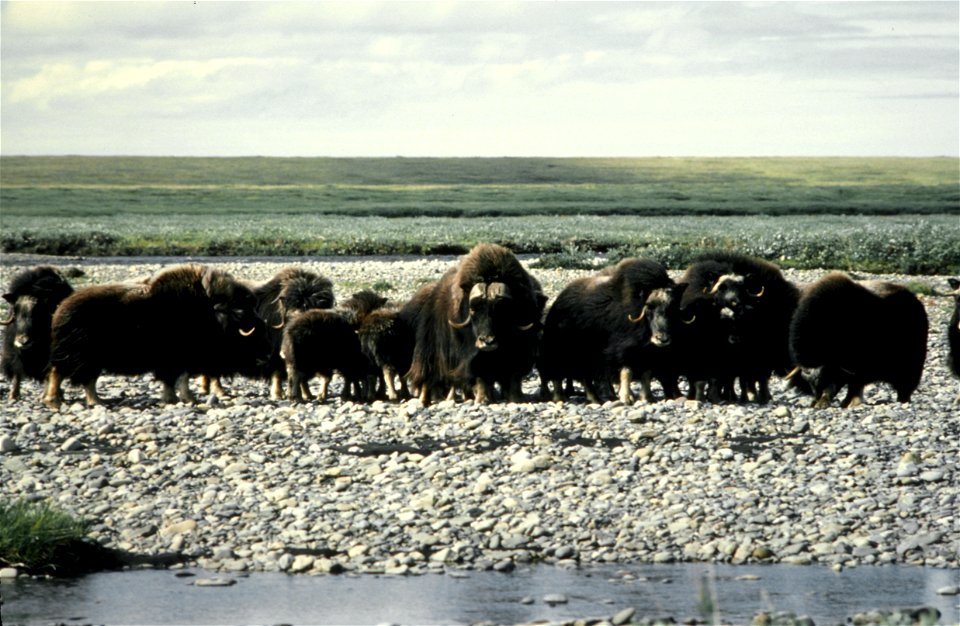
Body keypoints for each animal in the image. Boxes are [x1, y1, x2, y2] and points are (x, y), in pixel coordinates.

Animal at [1, 266, 74, 398]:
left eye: (38, 312)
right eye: (16, 310)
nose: (23, 341)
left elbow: (48, 373)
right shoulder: (12, 352)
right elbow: (16, 372)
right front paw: (12, 396)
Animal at [45, 264, 266, 410]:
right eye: (241, 313)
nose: (266, 354)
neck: (208, 311)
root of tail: (60, 309)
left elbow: (179, 379)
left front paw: (183, 398)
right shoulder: (177, 359)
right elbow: (175, 378)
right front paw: (180, 398)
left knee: (75, 377)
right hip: (82, 357)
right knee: (69, 375)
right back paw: (72, 401)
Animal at [402, 241, 544, 402]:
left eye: (501, 309)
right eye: (474, 309)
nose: (487, 341)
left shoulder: (521, 351)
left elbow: (514, 376)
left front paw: (516, 398)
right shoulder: (471, 356)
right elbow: (480, 375)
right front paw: (483, 399)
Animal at [788, 270, 928, 408]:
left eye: (824, 377)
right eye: (809, 382)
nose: (816, 402)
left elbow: (852, 384)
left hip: (910, 365)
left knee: (905, 385)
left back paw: (903, 401)